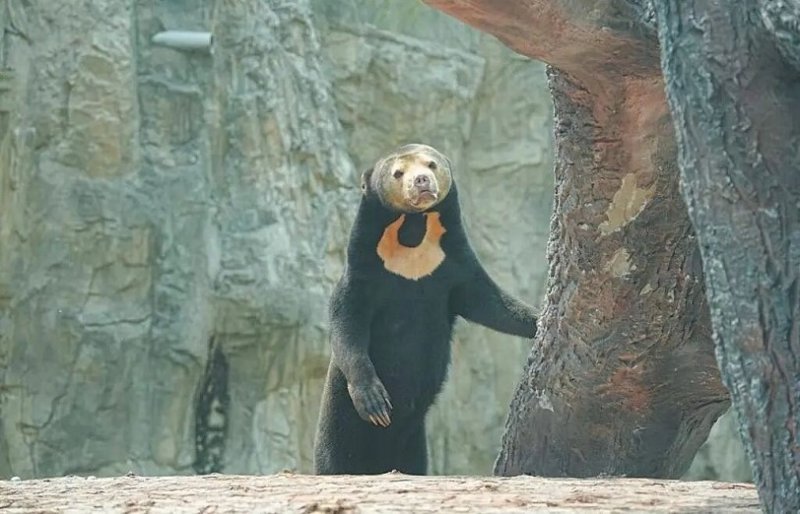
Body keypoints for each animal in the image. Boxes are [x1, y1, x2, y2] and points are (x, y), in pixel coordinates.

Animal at [313, 143, 538, 475]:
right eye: (398, 172)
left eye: (431, 164)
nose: (421, 181)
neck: (412, 231)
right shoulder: (362, 272)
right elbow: (346, 323)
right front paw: (375, 402)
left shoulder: (452, 264)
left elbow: (490, 302)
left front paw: (538, 320)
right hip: (338, 424)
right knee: (334, 459)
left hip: (413, 440)